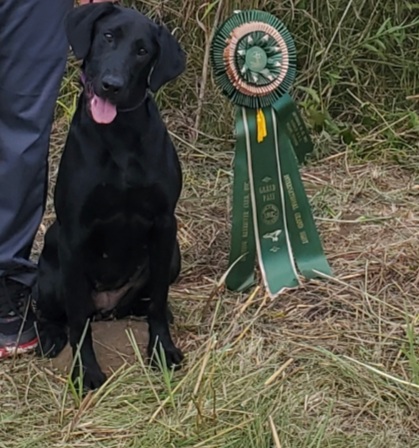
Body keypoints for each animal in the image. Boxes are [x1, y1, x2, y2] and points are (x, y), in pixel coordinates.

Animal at [35, 2, 186, 388]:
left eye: (143, 50)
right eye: (107, 36)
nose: (111, 85)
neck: (119, 137)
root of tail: (109, 307)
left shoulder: (165, 224)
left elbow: (158, 301)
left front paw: (162, 349)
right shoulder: (74, 232)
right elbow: (78, 320)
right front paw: (86, 370)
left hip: (173, 256)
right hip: (53, 264)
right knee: (55, 313)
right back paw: (51, 336)